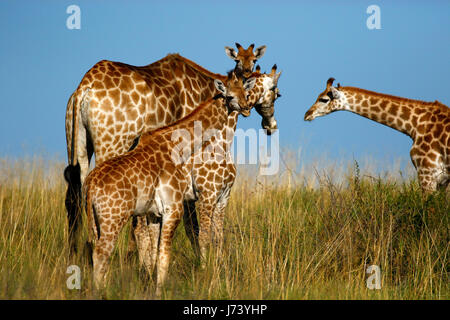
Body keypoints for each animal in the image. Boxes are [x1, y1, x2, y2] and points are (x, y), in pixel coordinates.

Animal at [63, 43, 268, 255]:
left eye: (255, 60)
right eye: (237, 60)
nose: (247, 74)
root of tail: (85, 89)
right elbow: (189, 218)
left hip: (76, 142)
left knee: (74, 197)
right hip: (110, 143)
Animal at [82, 70, 255, 296]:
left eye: (246, 92)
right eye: (231, 96)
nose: (246, 108)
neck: (178, 145)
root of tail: (90, 185)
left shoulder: (155, 213)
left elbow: (156, 254)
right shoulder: (174, 208)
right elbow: (166, 253)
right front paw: (160, 292)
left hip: (96, 219)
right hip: (113, 217)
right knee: (102, 252)